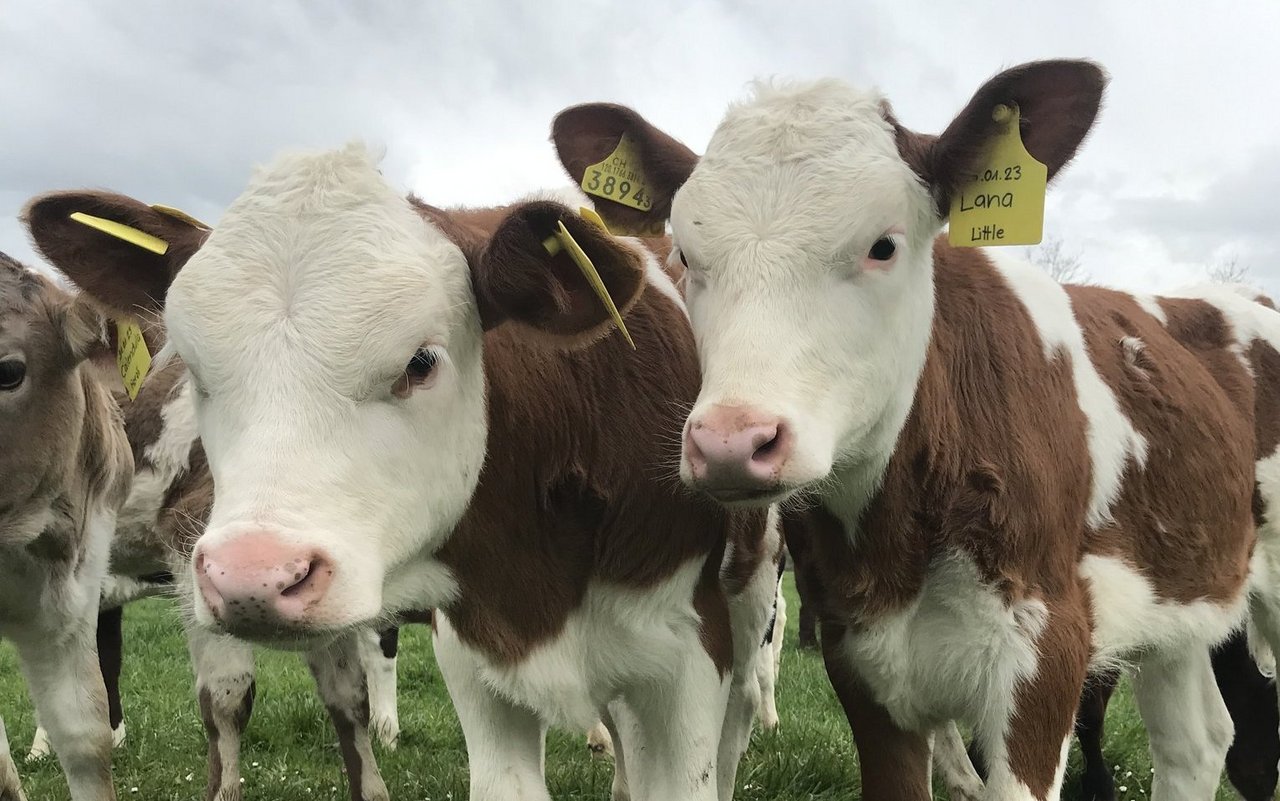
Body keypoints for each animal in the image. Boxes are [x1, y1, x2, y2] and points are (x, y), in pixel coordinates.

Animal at [552, 59, 1280, 793]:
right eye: (685, 257)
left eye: (883, 246)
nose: (731, 442)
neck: (907, 530)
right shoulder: (861, 659)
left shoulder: (1047, 652)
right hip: (1182, 607)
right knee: (1198, 739)